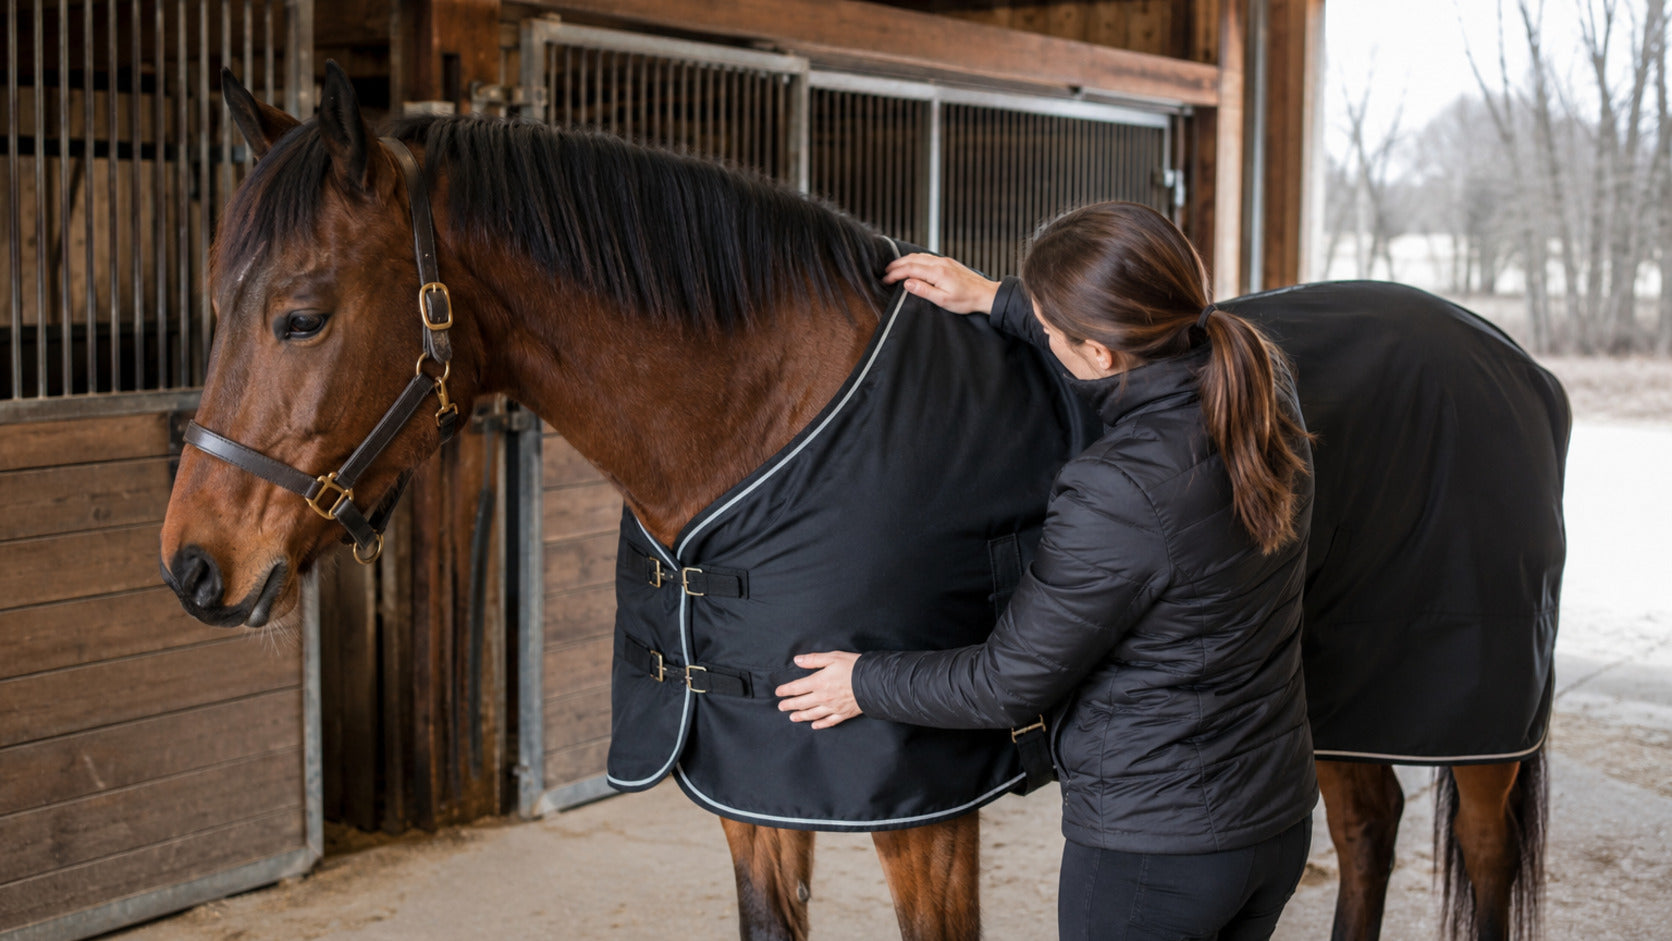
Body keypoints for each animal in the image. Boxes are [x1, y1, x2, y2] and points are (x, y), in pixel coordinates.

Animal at [159, 63, 1565, 941]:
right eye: (216, 301)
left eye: (301, 314)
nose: (193, 568)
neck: (767, 427)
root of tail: (1509, 358)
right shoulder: (760, 791)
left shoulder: (917, 811)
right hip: (1338, 692)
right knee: (1369, 829)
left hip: (1475, 721)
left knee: (1481, 858)